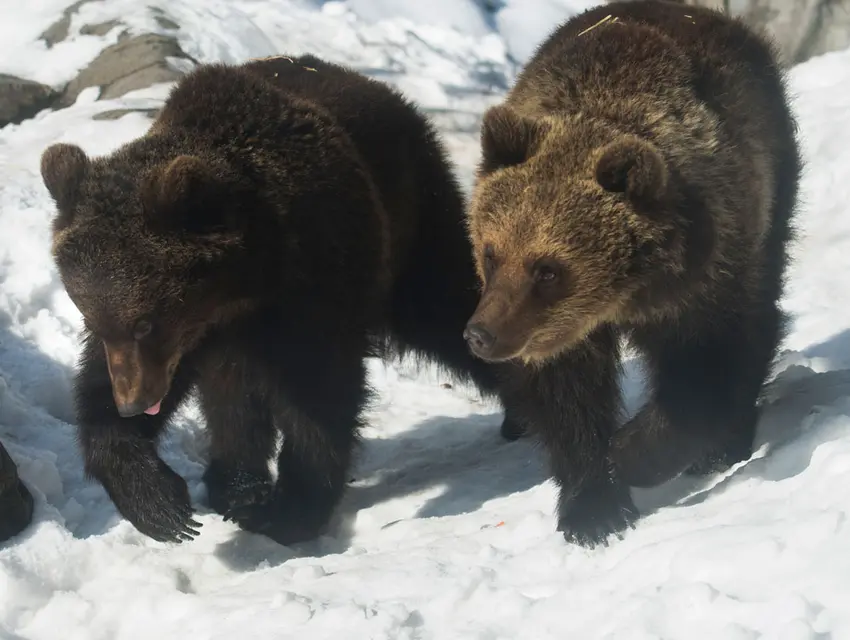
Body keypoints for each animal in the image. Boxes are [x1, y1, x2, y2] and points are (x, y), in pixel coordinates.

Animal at [40, 53, 518, 545]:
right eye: (93, 319)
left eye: (145, 322)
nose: (133, 402)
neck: (241, 285)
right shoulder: (200, 333)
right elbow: (101, 394)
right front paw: (162, 505)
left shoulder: (314, 284)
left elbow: (320, 394)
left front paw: (290, 509)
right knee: (230, 393)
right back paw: (234, 484)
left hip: (413, 220)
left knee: (445, 305)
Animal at [463, 0, 801, 547]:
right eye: (491, 254)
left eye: (547, 269)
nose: (481, 334)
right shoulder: (560, 332)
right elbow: (568, 399)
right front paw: (593, 508)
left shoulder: (709, 275)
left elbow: (710, 366)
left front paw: (634, 453)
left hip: (773, 187)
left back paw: (724, 445)